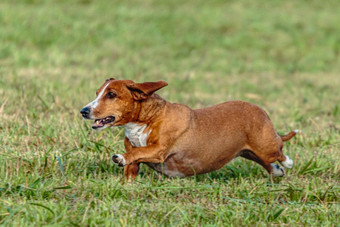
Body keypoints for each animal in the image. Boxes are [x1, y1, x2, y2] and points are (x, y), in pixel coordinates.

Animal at [80, 79, 298, 180]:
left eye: (111, 94)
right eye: (98, 93)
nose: (84, 111)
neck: (147, 119)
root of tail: (261, 111)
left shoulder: (158, 150)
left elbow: (137, 152)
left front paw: (120, 157)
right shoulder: (135, 160)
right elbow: (133, 161)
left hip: (265, 146)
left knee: (279, 150)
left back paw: (287, 162)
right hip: (248, 152)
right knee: (266, 161)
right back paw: (276, 171)